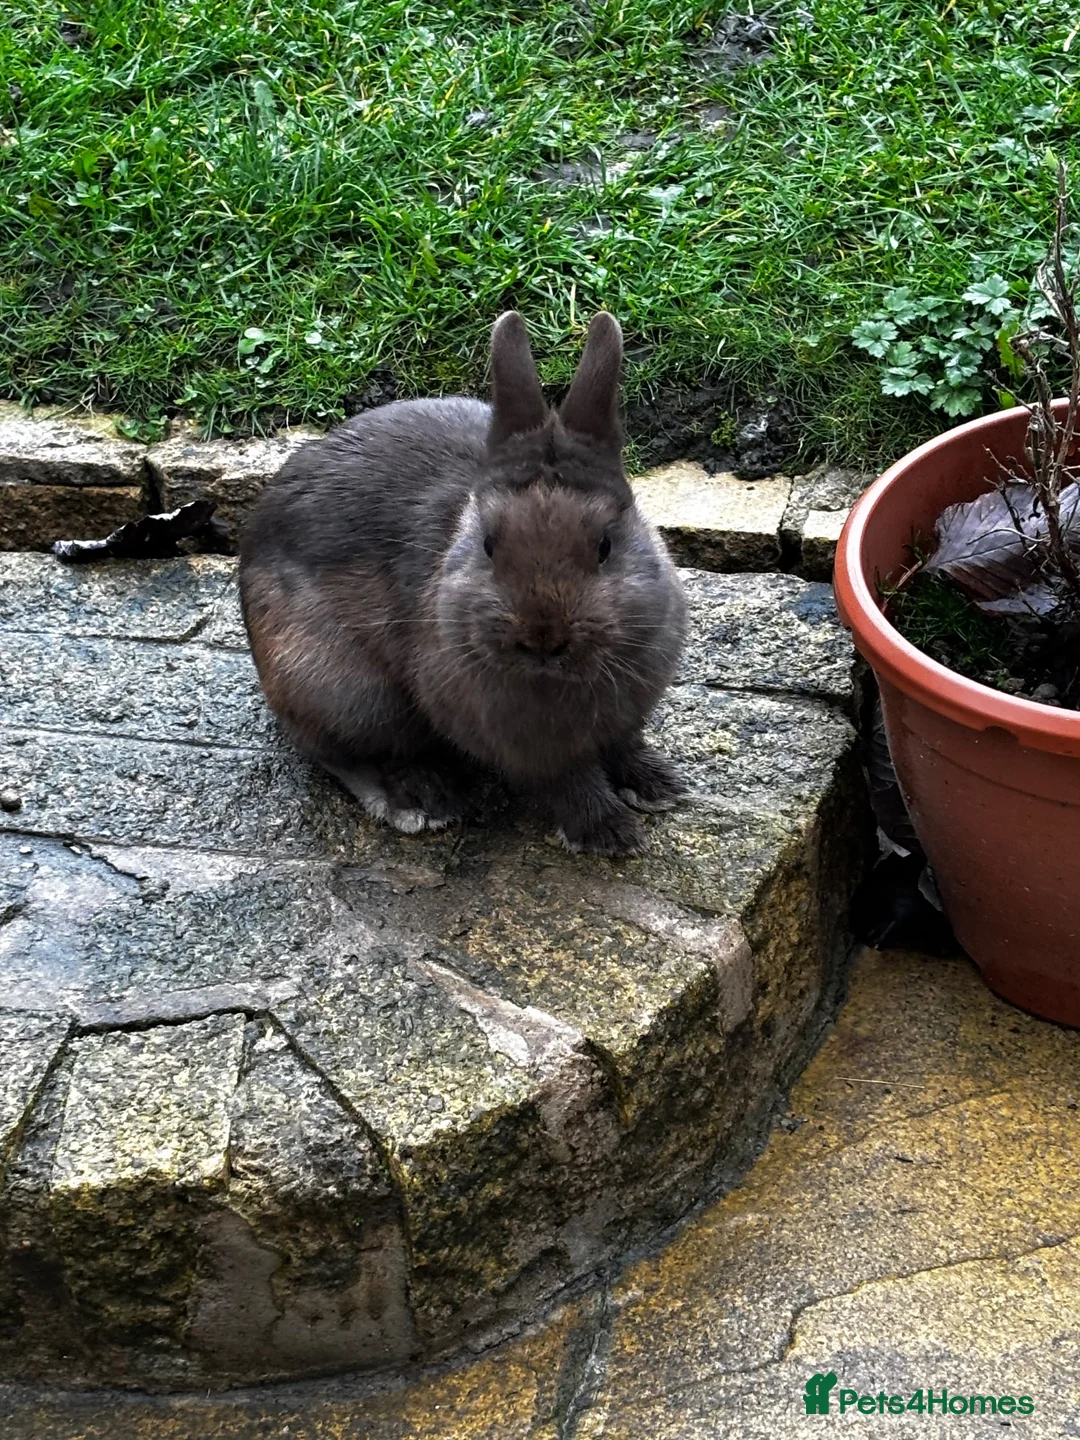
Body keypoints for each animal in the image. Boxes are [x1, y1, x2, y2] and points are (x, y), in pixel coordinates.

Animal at [239, 310, 688, 856]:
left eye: (604, 545)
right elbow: (568, 781)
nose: (543, 638)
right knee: (335, 750)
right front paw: (610, 834)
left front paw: (659, 786)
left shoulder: (626, 714)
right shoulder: (524, 746)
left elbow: (625, 745)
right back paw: (419, 802)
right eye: (489, 545)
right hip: (340, 689)